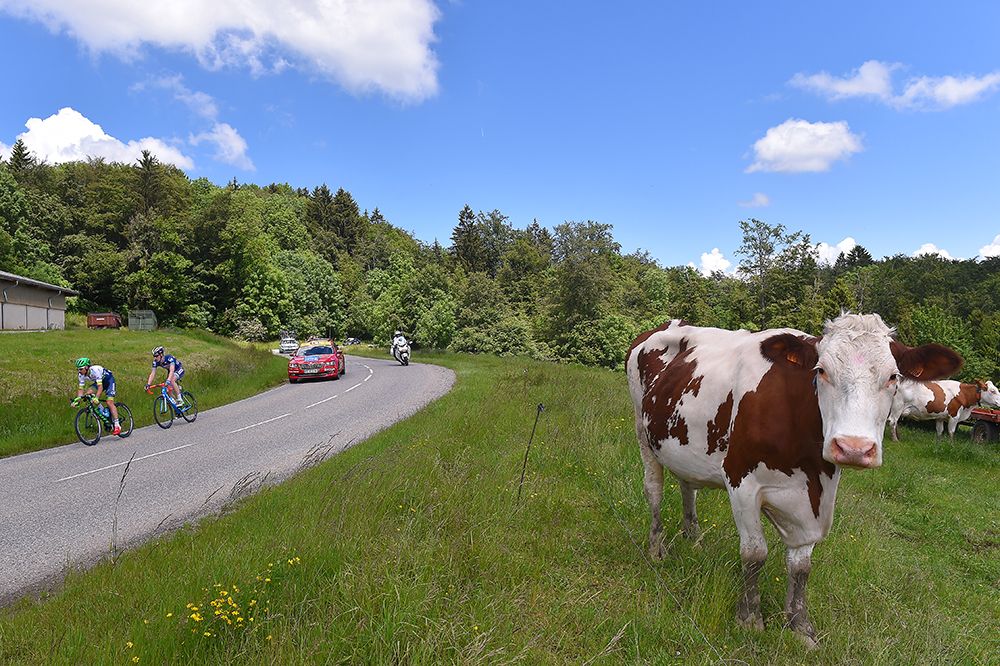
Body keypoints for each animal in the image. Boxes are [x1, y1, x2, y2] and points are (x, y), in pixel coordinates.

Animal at [626, 313, 961, 647]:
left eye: (893, 377)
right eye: (821, 371)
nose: (853, 448)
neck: (809, 465)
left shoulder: (815, 498)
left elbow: (801, 567)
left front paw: (799, 625)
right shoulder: (741, 480)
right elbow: (754, 553)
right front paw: (750, 618)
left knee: (688, 487)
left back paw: (694, 539)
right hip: (643, 433)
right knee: (653, 490)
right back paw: (656, 548)